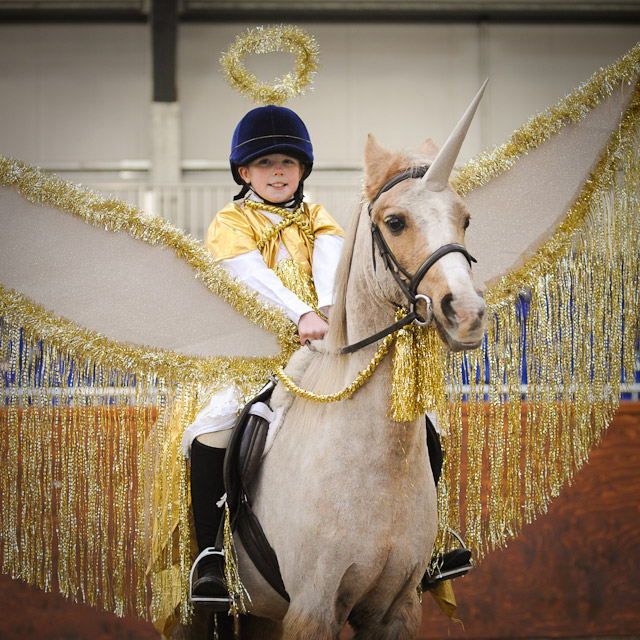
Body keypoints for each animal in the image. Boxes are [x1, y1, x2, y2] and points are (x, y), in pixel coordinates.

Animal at [215, 87, 484, 640]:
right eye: (395, 222)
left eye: (464, 219)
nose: (467, 313)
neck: (374, 465)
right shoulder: (312, 609)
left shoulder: (395, 610)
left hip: (260, 614)